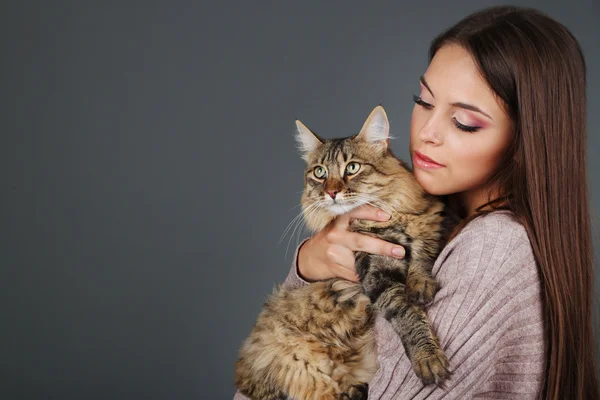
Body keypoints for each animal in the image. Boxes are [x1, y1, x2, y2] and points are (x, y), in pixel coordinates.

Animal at [234, 105, 460, 400]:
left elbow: (422, 257)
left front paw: (420, 284)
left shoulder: (431, 225)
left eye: (352, 168)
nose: (331, 192)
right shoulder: (376, 270)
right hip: (303, 368)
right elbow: (407, 313)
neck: (391, 214)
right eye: (319, 172)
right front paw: (427, 357)